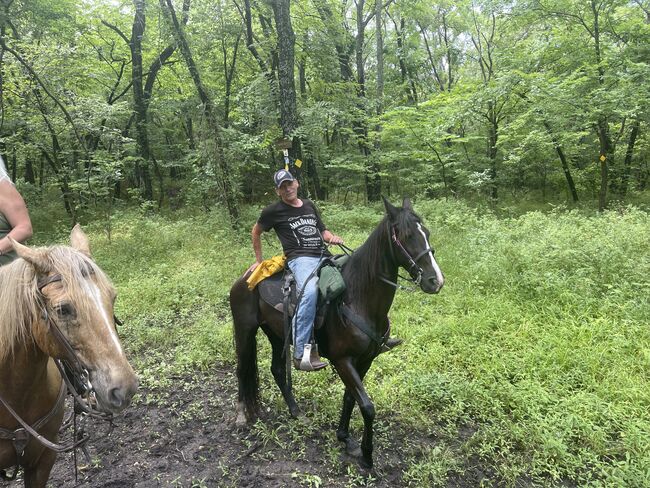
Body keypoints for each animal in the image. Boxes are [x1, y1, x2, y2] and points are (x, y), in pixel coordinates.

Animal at [230, 197, 442, 468]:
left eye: (426, 233)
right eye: (406, 236)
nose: (435, 281)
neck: (358, 298)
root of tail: (248, 275)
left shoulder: (366, 360)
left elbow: (351, 399)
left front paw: (345, 438)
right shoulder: (342, 361)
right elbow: (367, 406)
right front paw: (367, 456)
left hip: (276, 334)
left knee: (277, 369)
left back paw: (296, 412)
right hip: (245, 330)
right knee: (241, 369)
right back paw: (241, 416)